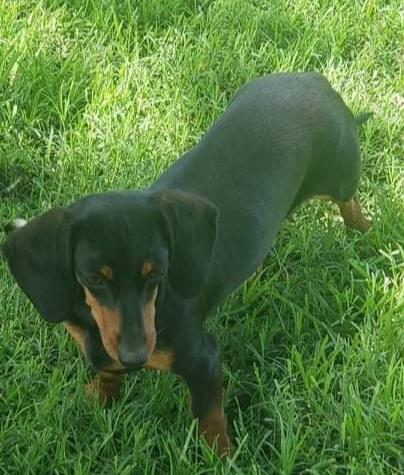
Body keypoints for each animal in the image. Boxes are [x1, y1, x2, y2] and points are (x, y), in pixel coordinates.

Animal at [3, 73, 371, 456]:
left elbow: (209, 416)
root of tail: (316, 81)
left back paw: (367, 234)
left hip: (340, 179)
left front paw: (221, 457)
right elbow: (107, 372)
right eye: (94, 278)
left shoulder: (203, 360)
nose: (135, 357)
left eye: (158, 272)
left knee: (351, 204)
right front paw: (99, 396)